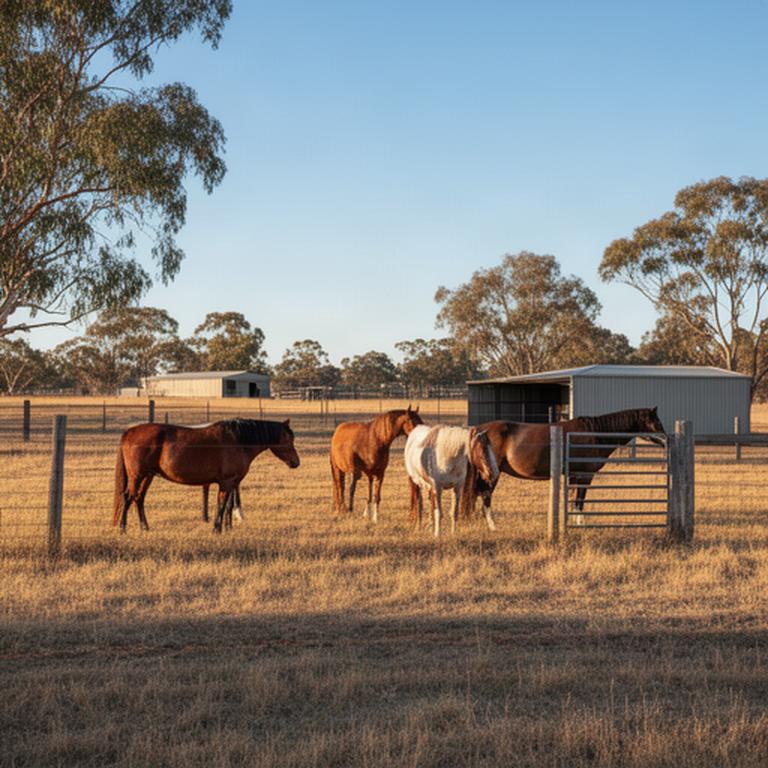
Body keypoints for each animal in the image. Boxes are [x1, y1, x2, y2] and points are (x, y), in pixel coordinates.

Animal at [114, 418, 300, 533]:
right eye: (288, 439)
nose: (296, 462)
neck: (238, 440)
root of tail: (129, 432)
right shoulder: (226, 482)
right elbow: (222, 504)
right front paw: (217, 529)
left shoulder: (232, 482)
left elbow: (229, 505)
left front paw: (227, 528)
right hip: (137, 476)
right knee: (128, 497)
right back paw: (123, 529)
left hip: (148, 476)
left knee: (139, 498)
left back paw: (145, 527)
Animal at [469, 407, 666, 524]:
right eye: (656, 421)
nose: (667, 440)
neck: (594, 434)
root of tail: (479, 430)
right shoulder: (584, 475)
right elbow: (579, 501)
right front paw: (580, 524)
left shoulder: (574, 475)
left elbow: (573, 501)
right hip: (491, 473)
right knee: (486, 496)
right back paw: (493, 525)